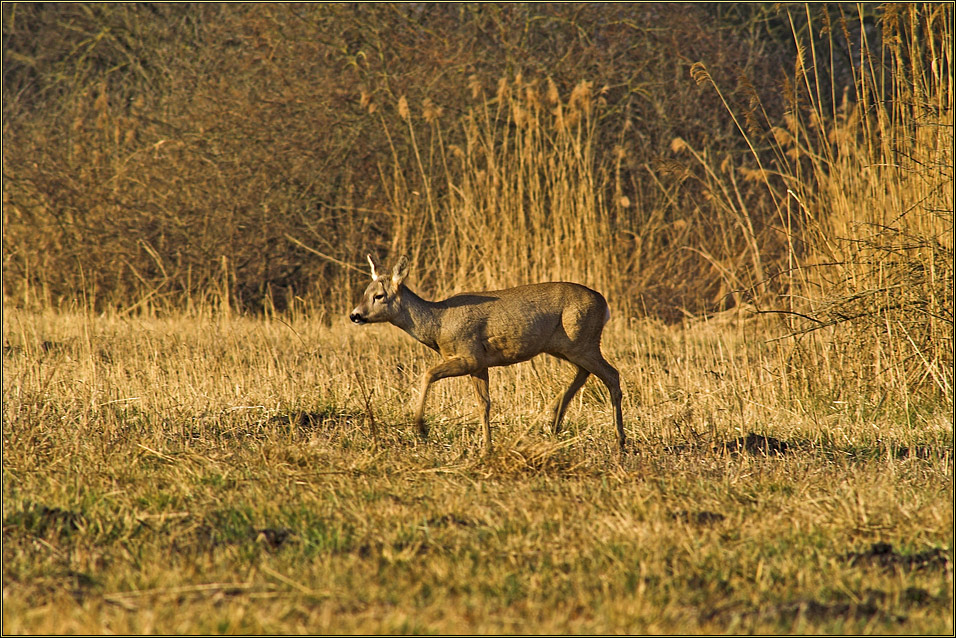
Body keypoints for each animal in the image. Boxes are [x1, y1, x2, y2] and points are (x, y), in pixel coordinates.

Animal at [348, 255, 624, 456]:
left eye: (379, 296)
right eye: (365, 292)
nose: (355, 315)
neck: (438, 324)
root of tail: (604, 304)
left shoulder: (469, 355)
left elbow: (428, 373)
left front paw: (421, 427)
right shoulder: (479, 365)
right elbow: (484, 404)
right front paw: (488, 448)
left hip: (582, 342)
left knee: (612, 375)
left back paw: (619, 441)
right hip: (566, 346)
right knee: (586, 373)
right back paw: (555, 419)